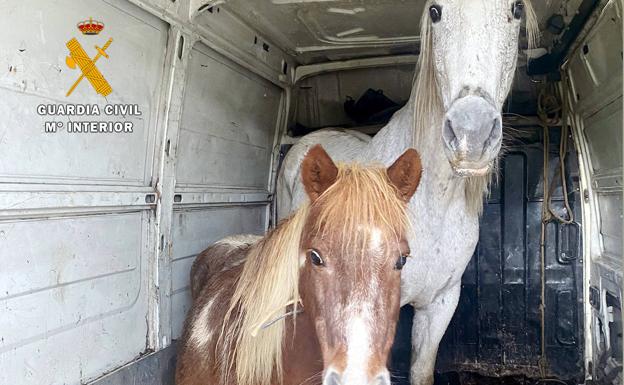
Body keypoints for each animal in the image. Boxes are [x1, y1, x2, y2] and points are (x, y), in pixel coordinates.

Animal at [276, 1, 540, 382]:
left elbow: (421, 369)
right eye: (435, 11)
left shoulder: (440, 302)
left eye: (516, 9)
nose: (471, 134)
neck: (430, 203)